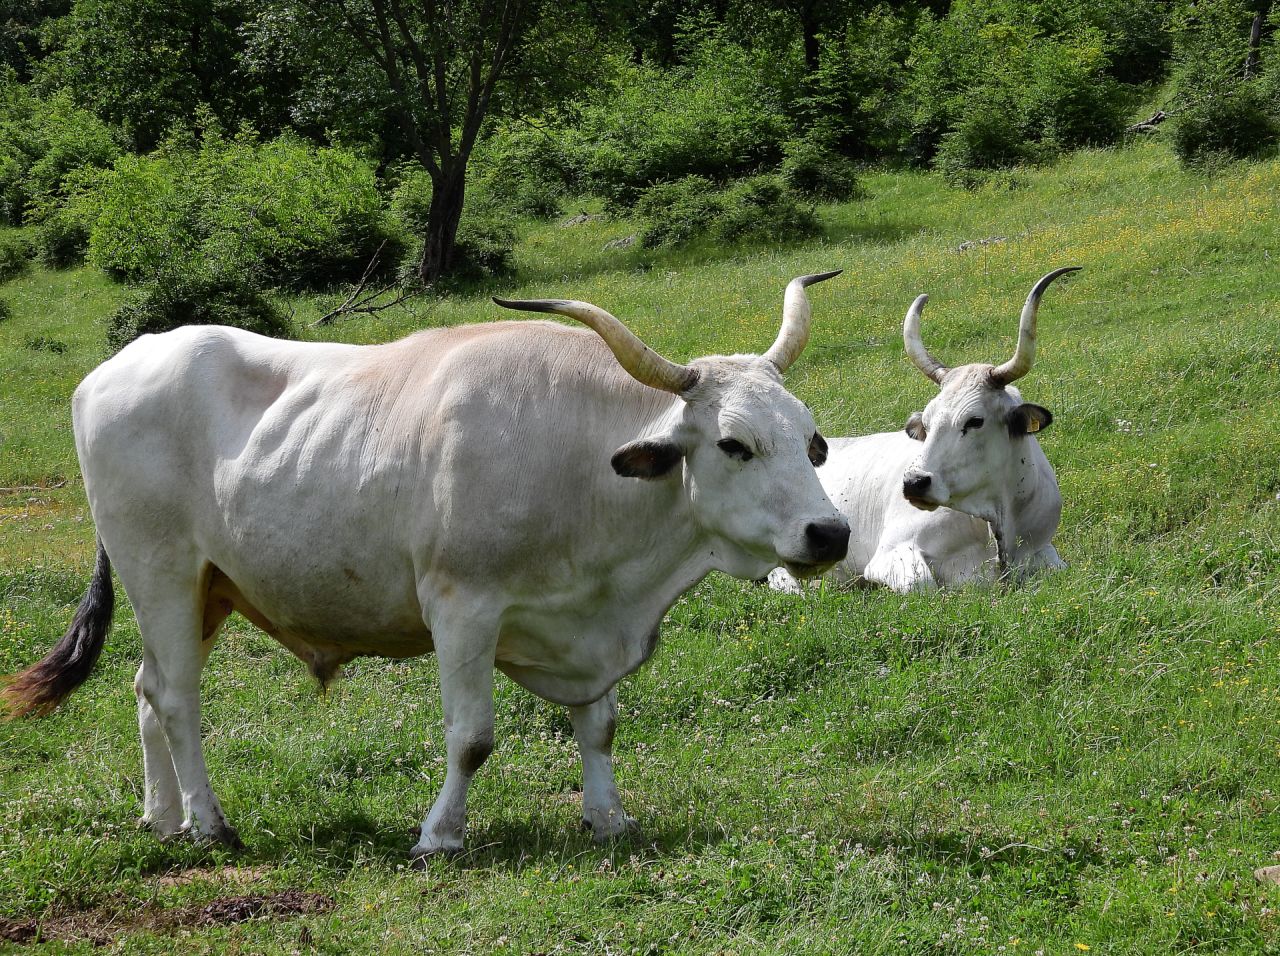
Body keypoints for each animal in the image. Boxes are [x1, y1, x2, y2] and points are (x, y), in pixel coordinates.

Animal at [10, 272, 855, 865]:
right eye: (735, 444)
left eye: (811, 439)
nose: (830, 533)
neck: (580, 461)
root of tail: (121, 364)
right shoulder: (462, 605)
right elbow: (472, 737)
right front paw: (439, 835)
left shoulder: (588, 626)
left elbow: (600, 724)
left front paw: (609, 817)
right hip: (161, 568)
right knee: (177, 698)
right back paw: (211, 826)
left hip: (205, 589)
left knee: (146, 687)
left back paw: (164, 818)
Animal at [768, 268, 1080, 593]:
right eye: (927, 424)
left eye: (975, 421)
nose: (913, 483)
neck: (998, 522)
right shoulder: (890, 553)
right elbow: (921, 584)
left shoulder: (1045, 551)